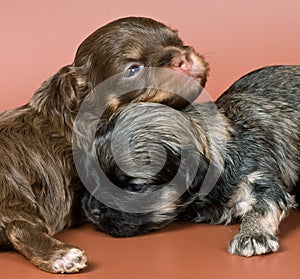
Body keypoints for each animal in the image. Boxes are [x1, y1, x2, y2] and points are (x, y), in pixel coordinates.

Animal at [82, 64, 300, 258]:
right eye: (93, 177)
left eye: (136, 187)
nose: (92, 210)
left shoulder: (260, 179)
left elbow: (261, 207)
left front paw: (252, 235)